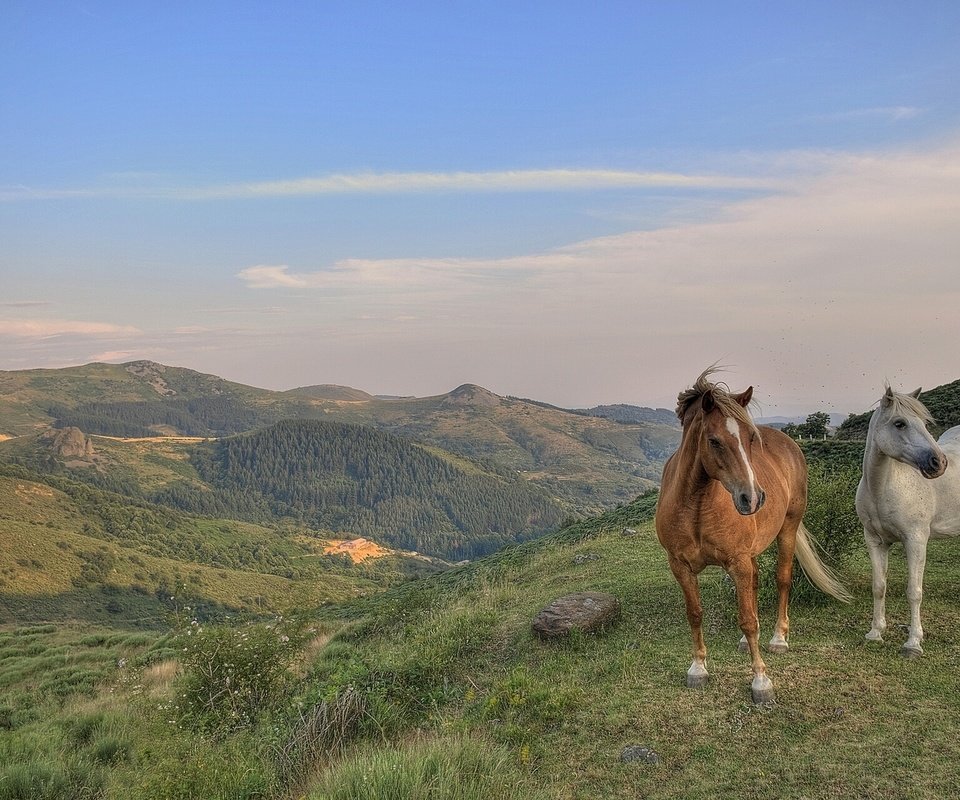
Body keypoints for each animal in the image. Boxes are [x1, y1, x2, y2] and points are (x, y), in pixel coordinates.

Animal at [656, 368, 852, 700]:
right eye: (714, 441)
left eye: (750, 438)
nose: (754, 498)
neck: (696, 506)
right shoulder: (681, 566)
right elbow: (695, 613)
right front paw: (698, 668)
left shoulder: (737, 562)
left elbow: (747, 620)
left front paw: (761, 680)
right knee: (757, 583)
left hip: (788, 529)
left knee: (783, 579)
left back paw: (778, 639)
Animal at [856, 388, 960, 656]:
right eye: (899, 423)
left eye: (924, 423)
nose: (939, 463)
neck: (883, 488)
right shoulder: (875, 541)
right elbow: (879, 586)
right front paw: (875, 633)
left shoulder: (915, 540)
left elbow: (914, 592)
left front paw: (913, 642)